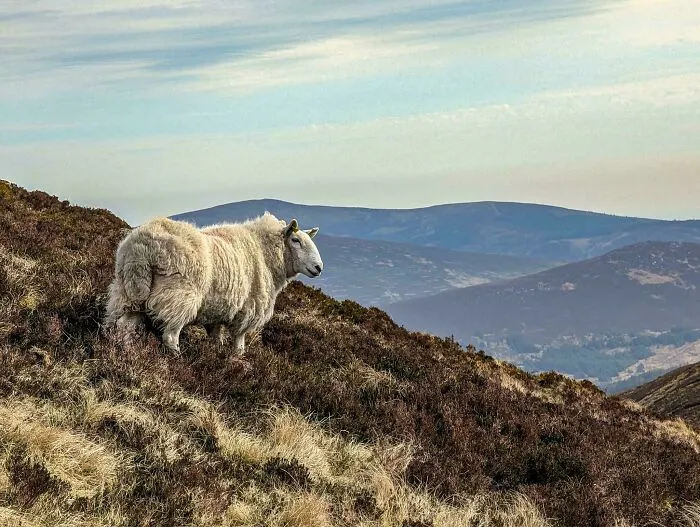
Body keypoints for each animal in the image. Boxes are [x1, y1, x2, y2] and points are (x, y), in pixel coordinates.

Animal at [104, 213, 323, 354]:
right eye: (295, 240)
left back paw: (124, 351)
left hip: (129, 292)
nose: (318, 267)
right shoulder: (247, 308)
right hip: (179, 295)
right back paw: (177, 358)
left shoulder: (219, 308)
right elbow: (239, 341)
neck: (265, 253)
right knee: (170, 335)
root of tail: (142, 249)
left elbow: (216, 337)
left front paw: (216, 355)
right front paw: (237, 359)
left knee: (123, 327)